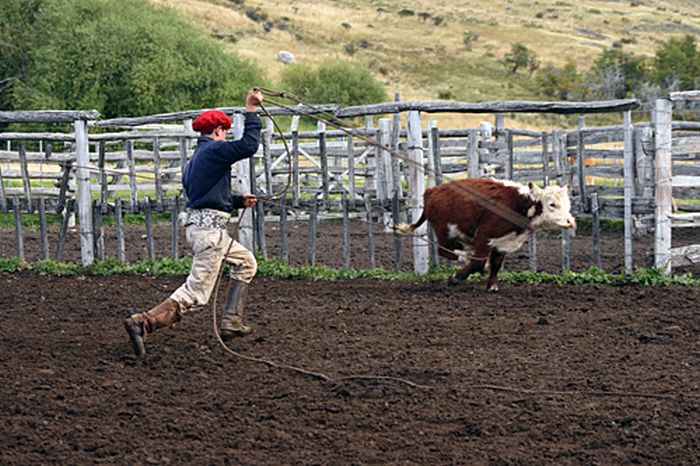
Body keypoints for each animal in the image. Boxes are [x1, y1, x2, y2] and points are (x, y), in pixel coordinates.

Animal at [396, 178, 576, 292]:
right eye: (552, 204)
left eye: (568, 204)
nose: (570, 222)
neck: (519, 206)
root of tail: (431, 191)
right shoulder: (484, 237)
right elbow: (478, 262)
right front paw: (456, 277)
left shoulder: (502, 243)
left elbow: (496, 264)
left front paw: (492, 286)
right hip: (444, 231)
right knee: (447, 251)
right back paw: (466, 256)